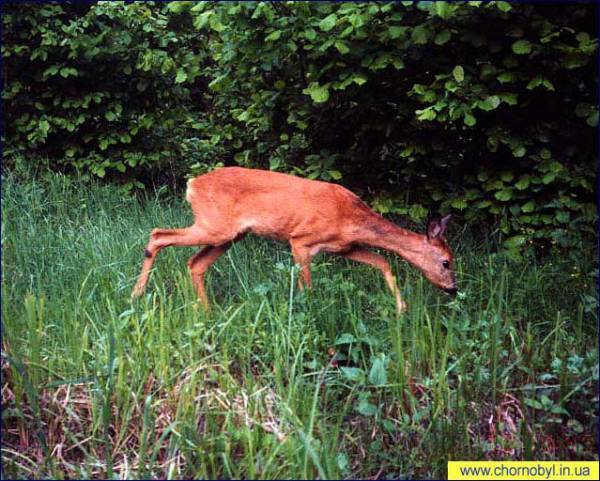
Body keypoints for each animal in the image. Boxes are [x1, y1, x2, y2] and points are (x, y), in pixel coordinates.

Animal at [132, 167, 460, 314]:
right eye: (446, 262)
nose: (453, 289)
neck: (349, 217)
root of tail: (193, 184)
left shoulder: (345, 247)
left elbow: (382, 261)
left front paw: (401, 309)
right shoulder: (300, 240)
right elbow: (308, 286)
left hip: (228, 235)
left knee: (194, 263)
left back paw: (207, 311)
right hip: (215, 227)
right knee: (158, 235)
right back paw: (137, 295)